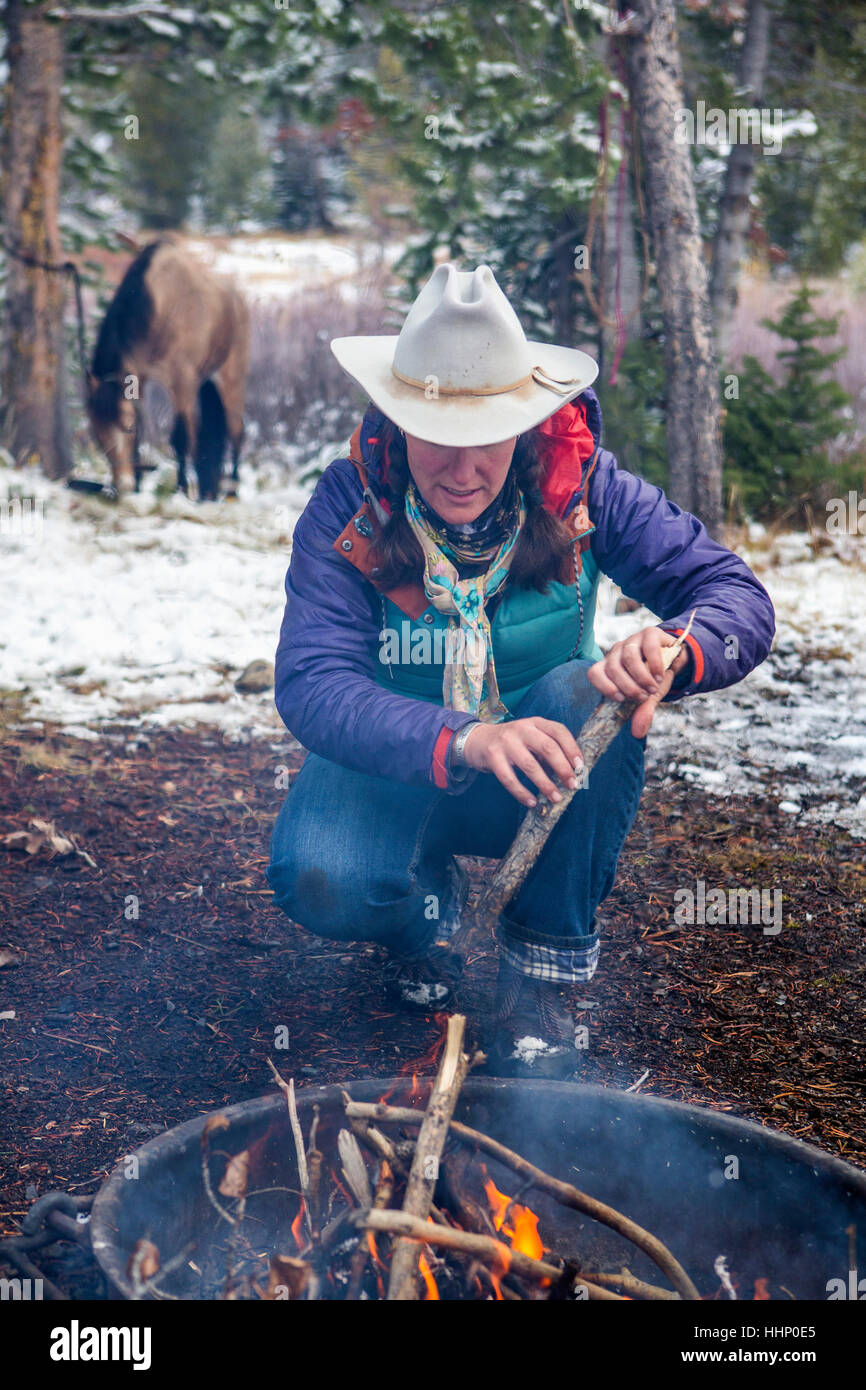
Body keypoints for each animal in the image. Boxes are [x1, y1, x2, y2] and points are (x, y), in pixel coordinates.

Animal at [87, 239, 250, 500]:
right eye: (97, 433)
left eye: (127, 428)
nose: (121, 485)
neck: (157, 306)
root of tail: (238, 302)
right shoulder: (140, 378)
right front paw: (138, 485)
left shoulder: (182, 381)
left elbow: (181, 437)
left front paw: (181, 489)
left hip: (231, 377)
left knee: (236, 430)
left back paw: (232, 489)